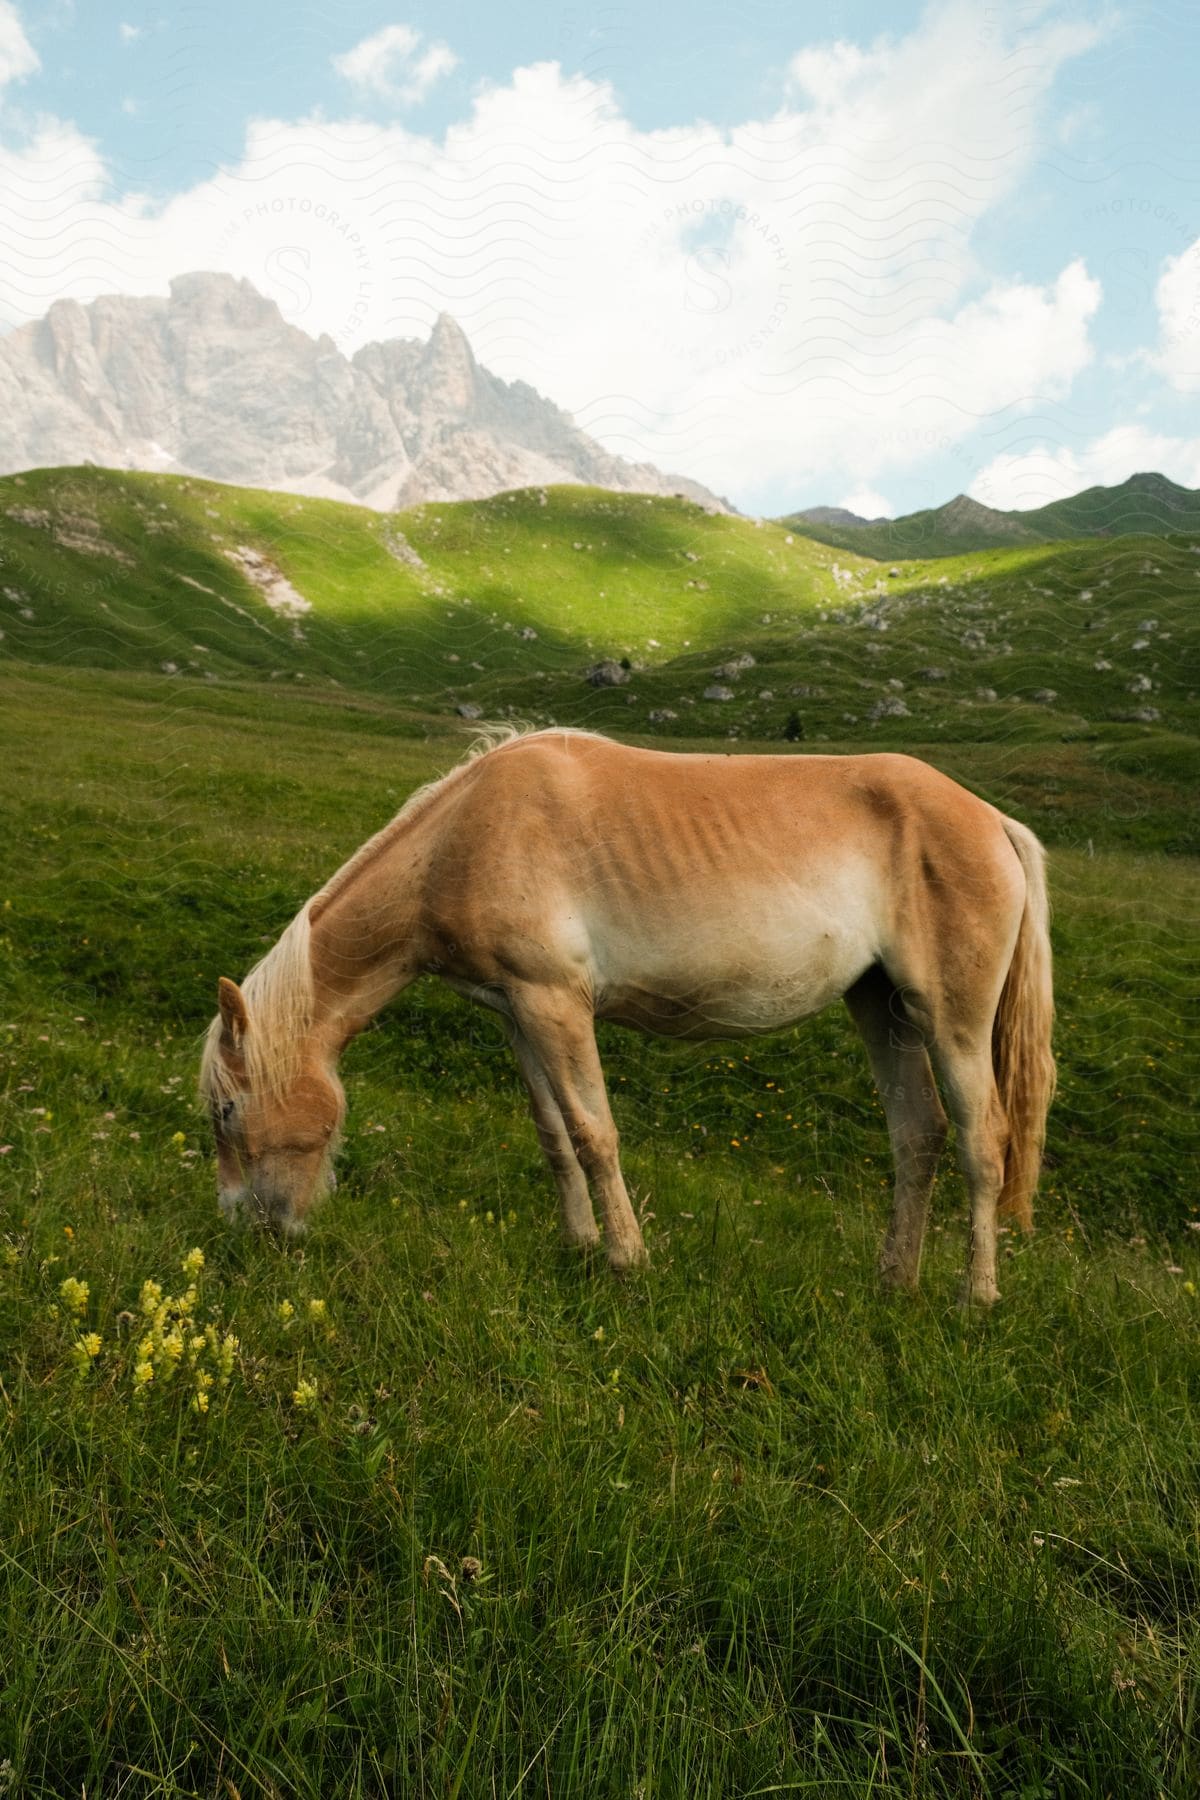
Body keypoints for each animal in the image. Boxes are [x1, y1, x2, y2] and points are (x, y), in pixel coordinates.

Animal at [201, 723, 1057, 1303]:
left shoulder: (556, 1003)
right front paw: (579, 1245)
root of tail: (992, 820)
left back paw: (975, 1295)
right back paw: (893, 1281)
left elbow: (594, 1132)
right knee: (918, 1134)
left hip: (950, 1019)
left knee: (983, 1140)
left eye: (228, 1110)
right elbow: (553, 1135)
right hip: (881, 1007)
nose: (245, 1228)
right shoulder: (518, 1012)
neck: (464, 838)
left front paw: (625, 1259)